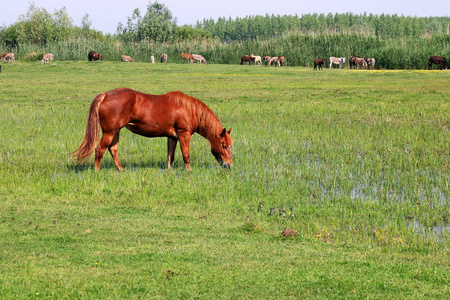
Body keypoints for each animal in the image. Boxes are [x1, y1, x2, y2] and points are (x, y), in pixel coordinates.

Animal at [72, 88, 234, 170]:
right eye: (224, 145)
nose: (229, 165)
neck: (188, 109)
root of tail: (105, 95)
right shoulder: (183, 134)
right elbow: (186, 155)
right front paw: (189, 171)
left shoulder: (172, 136)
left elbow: (170, 156)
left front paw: (169, 171)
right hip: (109, 132)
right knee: (100, 149)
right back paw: (97, 171)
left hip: (116, 131)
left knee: (113, 149)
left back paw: (121, 169)